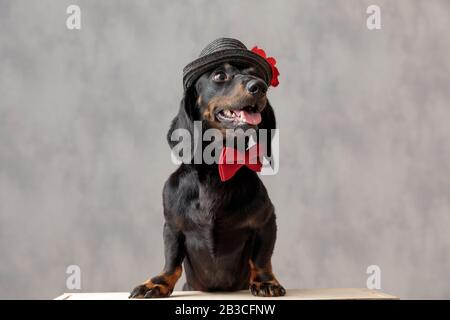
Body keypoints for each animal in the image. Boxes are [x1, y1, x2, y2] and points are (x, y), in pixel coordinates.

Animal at [129, 38, 284, 298]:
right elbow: (171, 262)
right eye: (220, 75)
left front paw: (265, 282)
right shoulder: (172, 227)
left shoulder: (266, 221)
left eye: (255, 74)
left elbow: (262, 259)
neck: (216, 170)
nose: (260, 86)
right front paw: (157, 283)